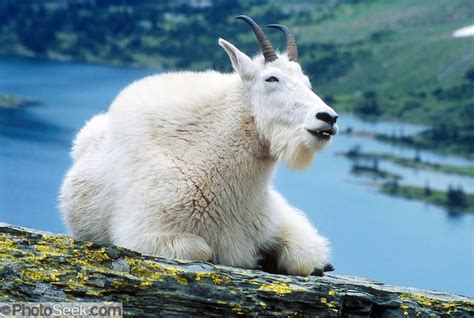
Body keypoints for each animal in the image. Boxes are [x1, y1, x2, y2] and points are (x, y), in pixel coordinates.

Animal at [61, 16, 338, 278]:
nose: (328, 118)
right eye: (271, 78)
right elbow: (203, 251)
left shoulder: (280, 224)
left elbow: (302, 258)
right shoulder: (147, 232)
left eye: (307, 82)